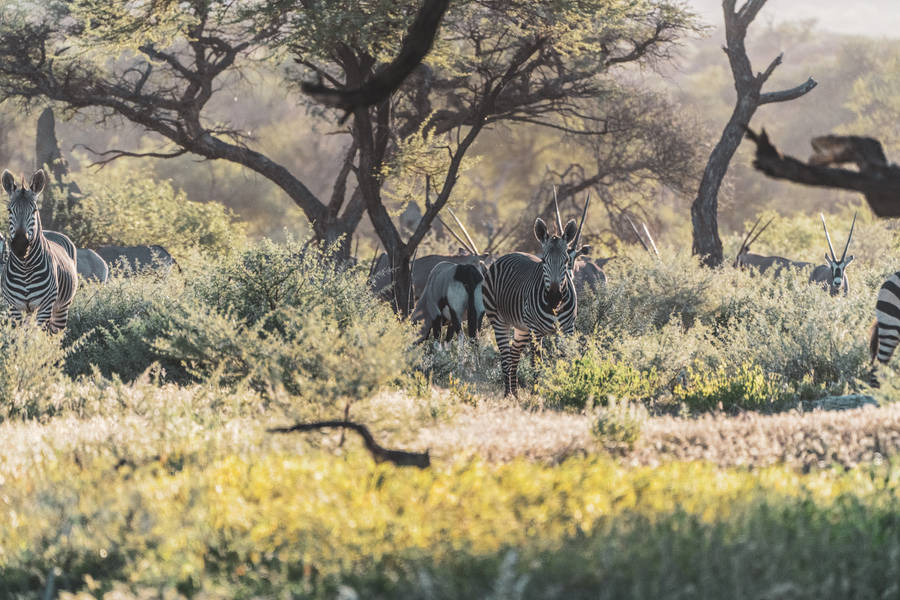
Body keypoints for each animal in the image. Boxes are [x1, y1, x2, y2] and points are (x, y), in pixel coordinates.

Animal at [0, 169, 78, 333]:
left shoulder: (45, 307)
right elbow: (21, 338)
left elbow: (37, 338)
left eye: (34, 210)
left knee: (55, 335)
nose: (20, 246)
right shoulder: (14, 308)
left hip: (61, 309)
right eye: (9, 210)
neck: (25, 268)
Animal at [483, 193, 590, 396]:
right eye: (543, 261)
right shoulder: (536, 331)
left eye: (566, 260)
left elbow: (565, 359)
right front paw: (536, 394)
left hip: (522, 328)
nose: (554, 298)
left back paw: (516, 393)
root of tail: (506, 255)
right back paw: (508, 394)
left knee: (514, 353)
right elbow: (536, 363)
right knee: (505, 357)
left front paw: (565, 387)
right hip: (500, 321)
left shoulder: (567, 329)